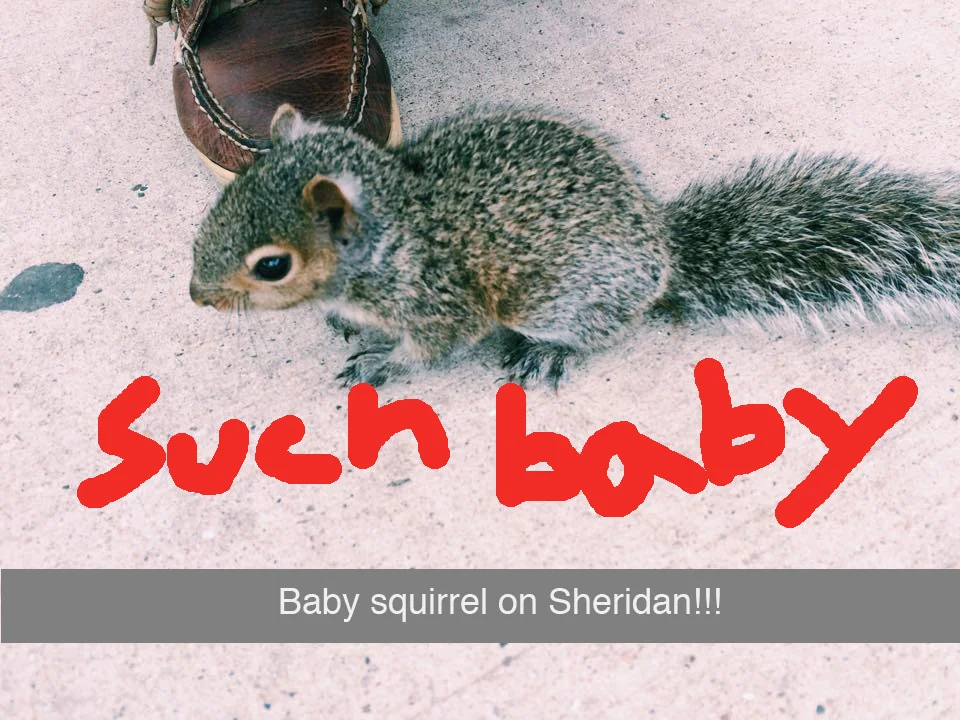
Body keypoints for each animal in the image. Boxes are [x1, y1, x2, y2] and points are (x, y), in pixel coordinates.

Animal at [189, 104, 960, 387]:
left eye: (272, 266)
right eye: (229, 192)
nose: (197, 295)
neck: (393, 232)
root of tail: (664, 257)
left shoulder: (440, 300)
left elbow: (432, 348)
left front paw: (380, 362)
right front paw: (346, 325)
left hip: (554, 300)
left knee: (598, 330)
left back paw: (546, 353)